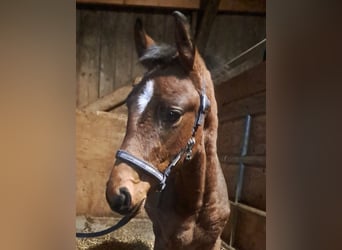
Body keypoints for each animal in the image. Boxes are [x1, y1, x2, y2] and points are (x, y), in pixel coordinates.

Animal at [106, 10, 230, 249]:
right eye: (129, 104)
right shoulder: (163, 239)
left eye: (173, 114)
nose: (117, 194)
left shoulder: (215, 241)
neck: (195, 206)